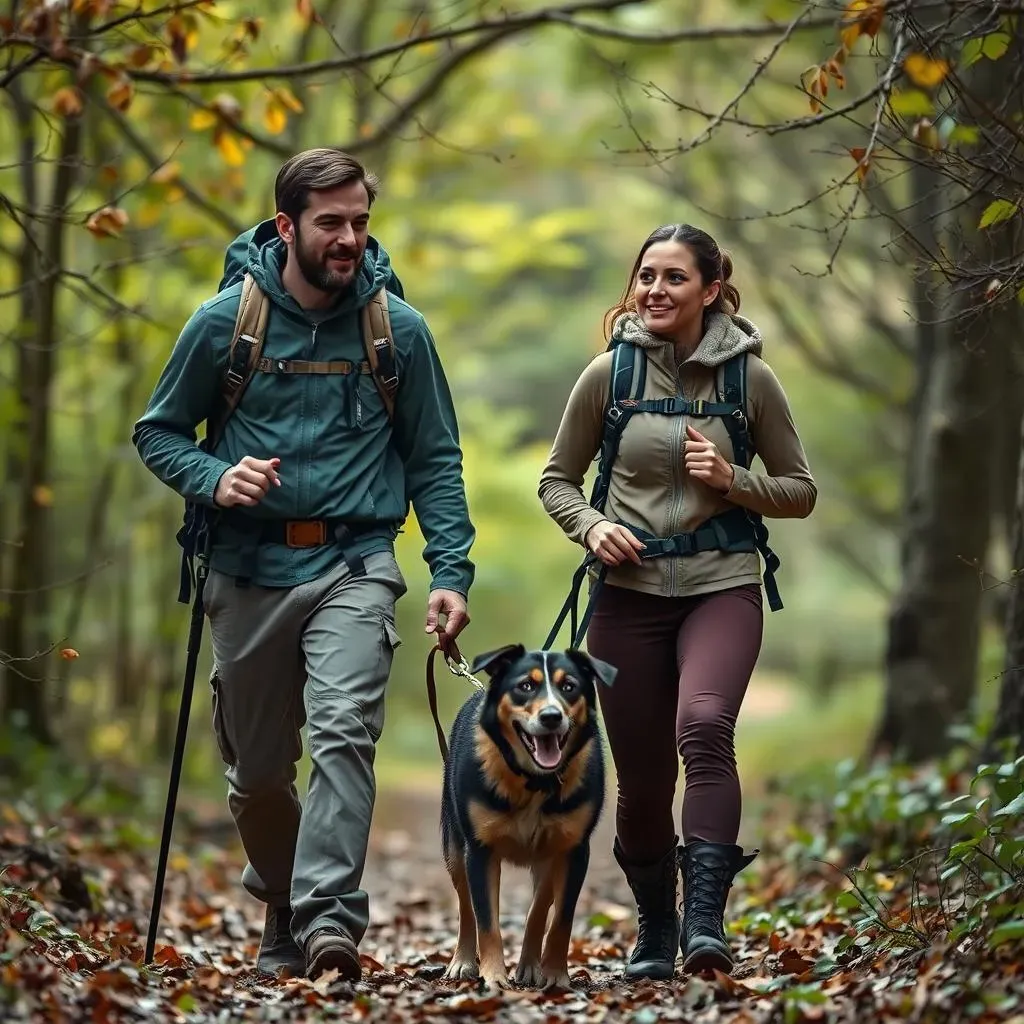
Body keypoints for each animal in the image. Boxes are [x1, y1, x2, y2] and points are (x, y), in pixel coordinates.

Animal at [440, 643, 614, 987]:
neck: (535, 782)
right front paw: (493, 975)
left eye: (569, 687)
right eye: (525, 686)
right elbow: (485, 919)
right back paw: (463, 960)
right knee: (465, 905)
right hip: (454, 844)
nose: (551, 716)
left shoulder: (571, 850)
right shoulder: (479, 850)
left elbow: (555, 917)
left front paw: (554, 974)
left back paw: (531, 965)